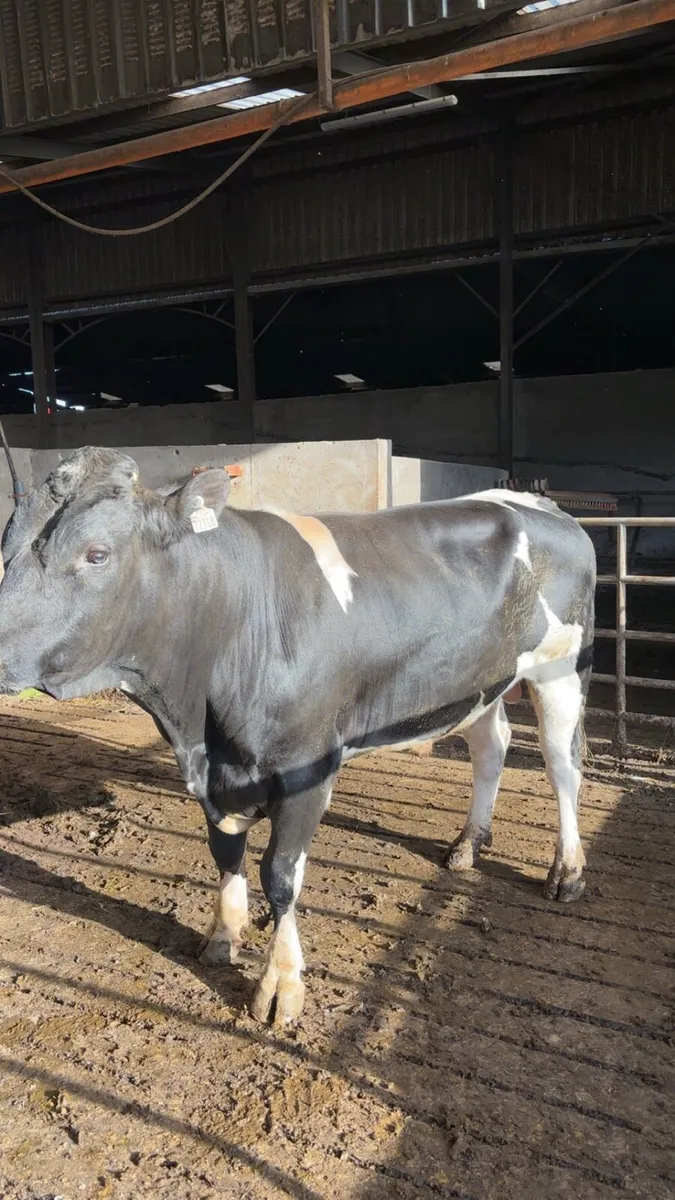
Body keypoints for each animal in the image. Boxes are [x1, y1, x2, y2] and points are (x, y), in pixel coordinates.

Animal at [0, 447, 595, 1025]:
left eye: (96, 554)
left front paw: (280, 986)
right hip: (480, 680)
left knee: (562, 765)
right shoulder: (213, 774)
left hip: (561, 669)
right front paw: (222, 937)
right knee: (490, 747)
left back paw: (567, 870)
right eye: (6, 548)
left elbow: (280, 875)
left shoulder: (305, 769)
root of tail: (540, 505)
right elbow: (225, 853)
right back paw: (469, 843)